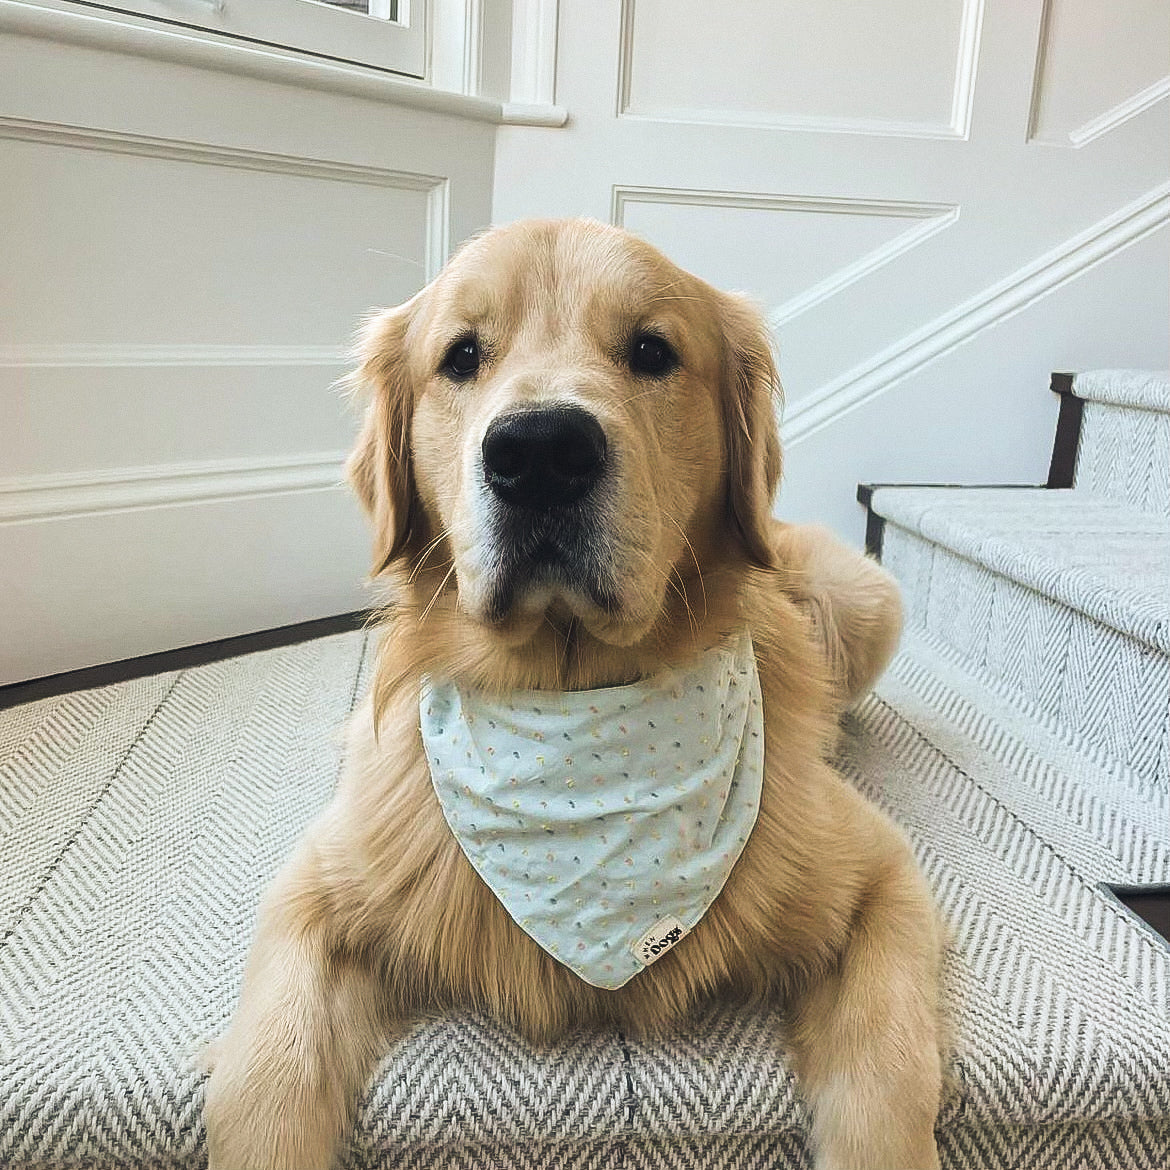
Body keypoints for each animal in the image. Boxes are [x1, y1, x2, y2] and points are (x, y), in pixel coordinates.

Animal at [205, 215, 945, 1165]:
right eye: (461, 356)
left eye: (652, 350)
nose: (541, 454)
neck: (571, 698)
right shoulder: (319, 888)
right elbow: (267, 1077)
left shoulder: (881, 878)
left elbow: (890, 1074)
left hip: (865, 597)